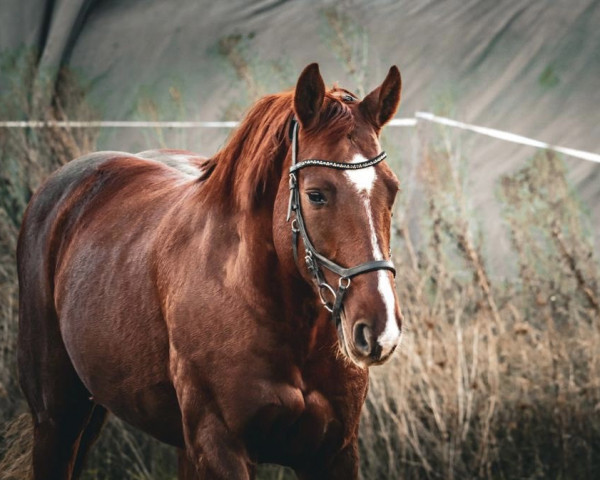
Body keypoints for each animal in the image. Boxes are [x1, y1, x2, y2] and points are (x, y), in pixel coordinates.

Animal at [17, 63, 404, 480]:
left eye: (392, 190)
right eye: (316, 194)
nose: (380, 330)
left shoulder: (334, 453)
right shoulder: (220, 446)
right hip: (57, 420)